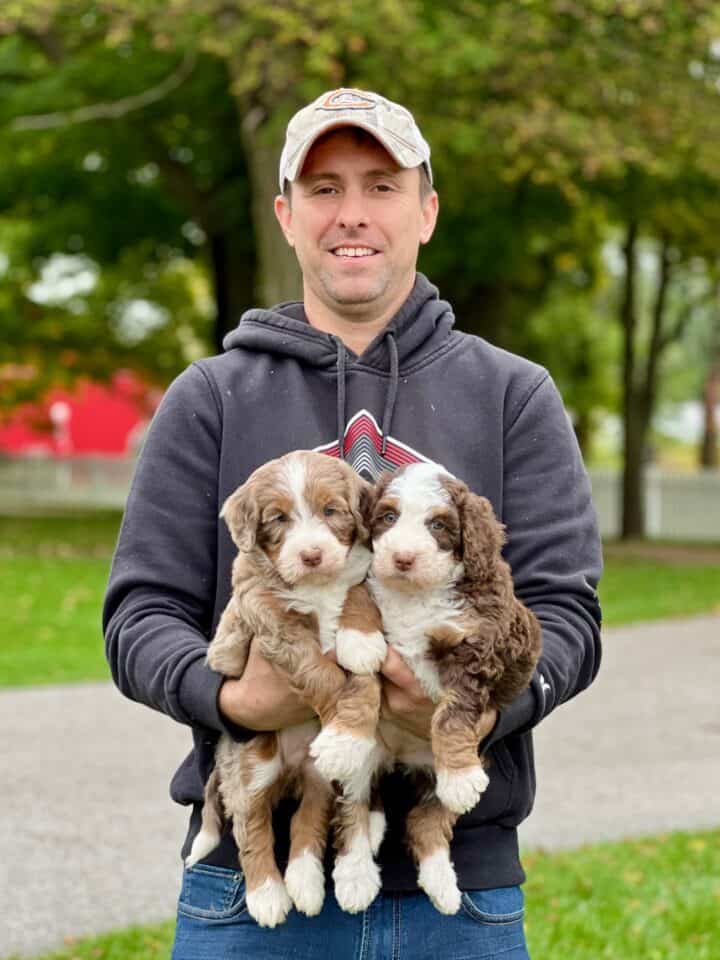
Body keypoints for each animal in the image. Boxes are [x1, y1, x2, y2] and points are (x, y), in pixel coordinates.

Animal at [187, 454, 388, 928]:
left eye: (331, 511)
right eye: (278, 519)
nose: (311, 555)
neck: (317, 589)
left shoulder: (360, 576)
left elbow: (359, 609)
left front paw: (361, 642)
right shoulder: (267, 614)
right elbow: (321, 672)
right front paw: (342, 728)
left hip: (318, 780)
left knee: (307, 822)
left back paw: (308, 884)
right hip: (249, 767)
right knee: (253, 829)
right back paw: (269, 896)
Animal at [360, 464, 540, 916]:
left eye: (438, 525)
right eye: (388, 517)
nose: (403, 559)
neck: (416, 596)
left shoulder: (475, 650)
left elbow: (451, 715)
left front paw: (459, 777)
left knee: (425, 821)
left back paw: (443, 887)